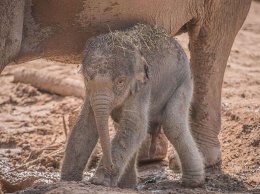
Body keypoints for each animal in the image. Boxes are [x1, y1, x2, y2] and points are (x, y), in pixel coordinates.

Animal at [61, 23, 205, 188]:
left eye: (120, 81)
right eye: (86, 78)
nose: (110, 165)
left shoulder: (143, 86)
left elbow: (134, 125)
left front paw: (99, 181)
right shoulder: (90, 93)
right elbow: (86, 125)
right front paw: (68, 179)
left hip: (184, 82)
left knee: (173, 124)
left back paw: (193, 182)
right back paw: (127, 185)